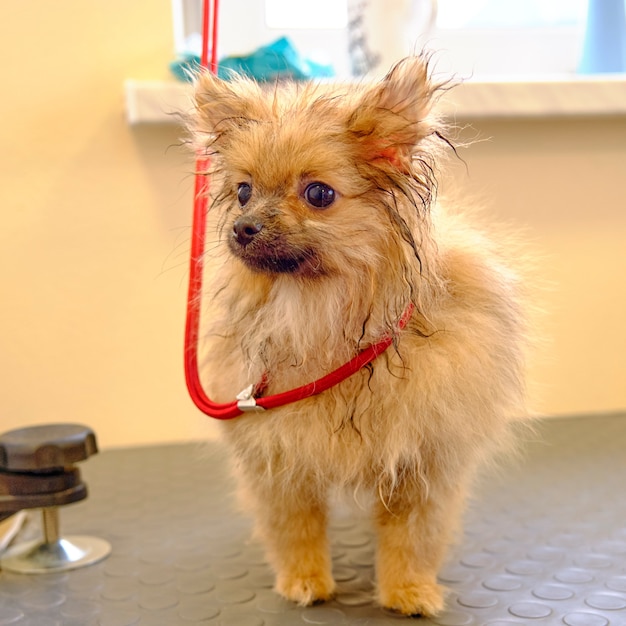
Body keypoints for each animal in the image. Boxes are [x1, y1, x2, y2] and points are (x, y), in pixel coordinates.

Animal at [189, 57, 528, 616]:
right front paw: (304, 580)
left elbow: (412, 537)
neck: (320, 315)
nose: (243, 227)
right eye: (243, 192)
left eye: (318, 194)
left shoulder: (423, 462)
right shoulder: (280, 463)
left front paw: (408, 589)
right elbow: (296, 530)